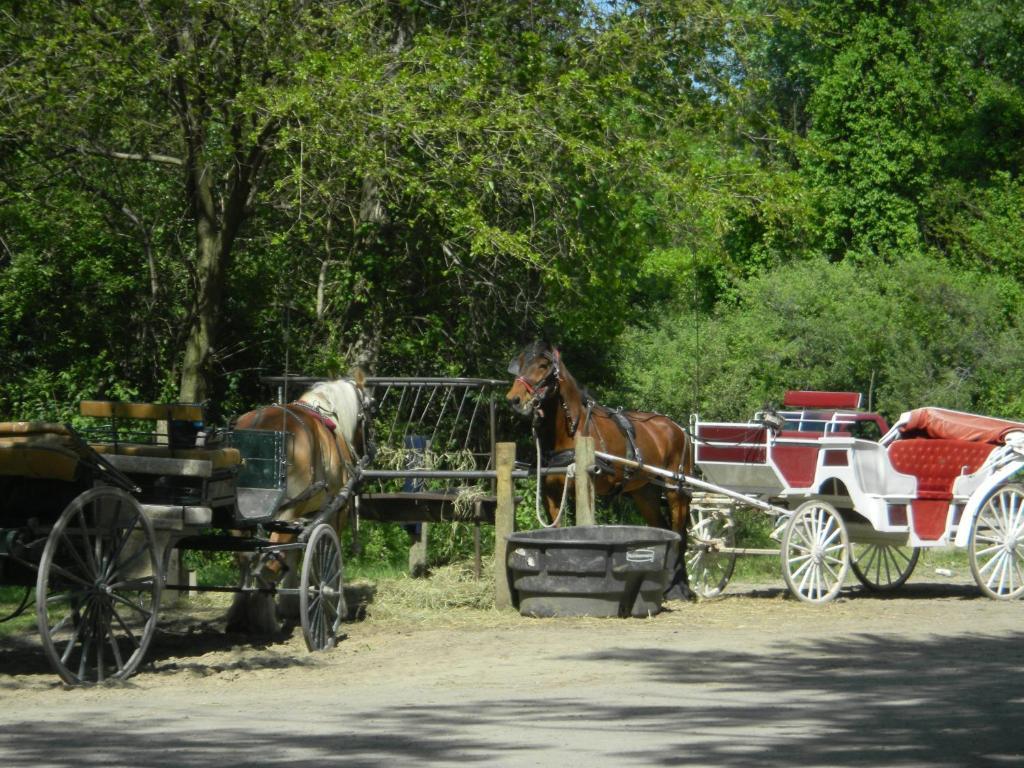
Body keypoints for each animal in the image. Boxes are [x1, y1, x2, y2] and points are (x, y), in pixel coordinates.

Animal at [224, 370, 372, 630]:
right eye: (371, 407)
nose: (366, 451)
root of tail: (258, 425)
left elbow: (293, 556)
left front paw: (288, 605)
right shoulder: (336, 511)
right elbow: (330, 554)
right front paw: (336, 604)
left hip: (243, 518)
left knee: (247, 558)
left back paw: (241, 612)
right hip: (288, 510)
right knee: (269, 561)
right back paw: (265, 618)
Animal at [505, 342, 696, 602]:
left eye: (543, 365)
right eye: (521, 362)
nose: (514, 400)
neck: (571, 430)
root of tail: (677, 428)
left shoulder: (585, 487)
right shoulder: (551, 493)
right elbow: (554, 532)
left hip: (677, 489)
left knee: (680, 536)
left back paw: (682, 589)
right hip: (645, 493)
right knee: (665, 529)